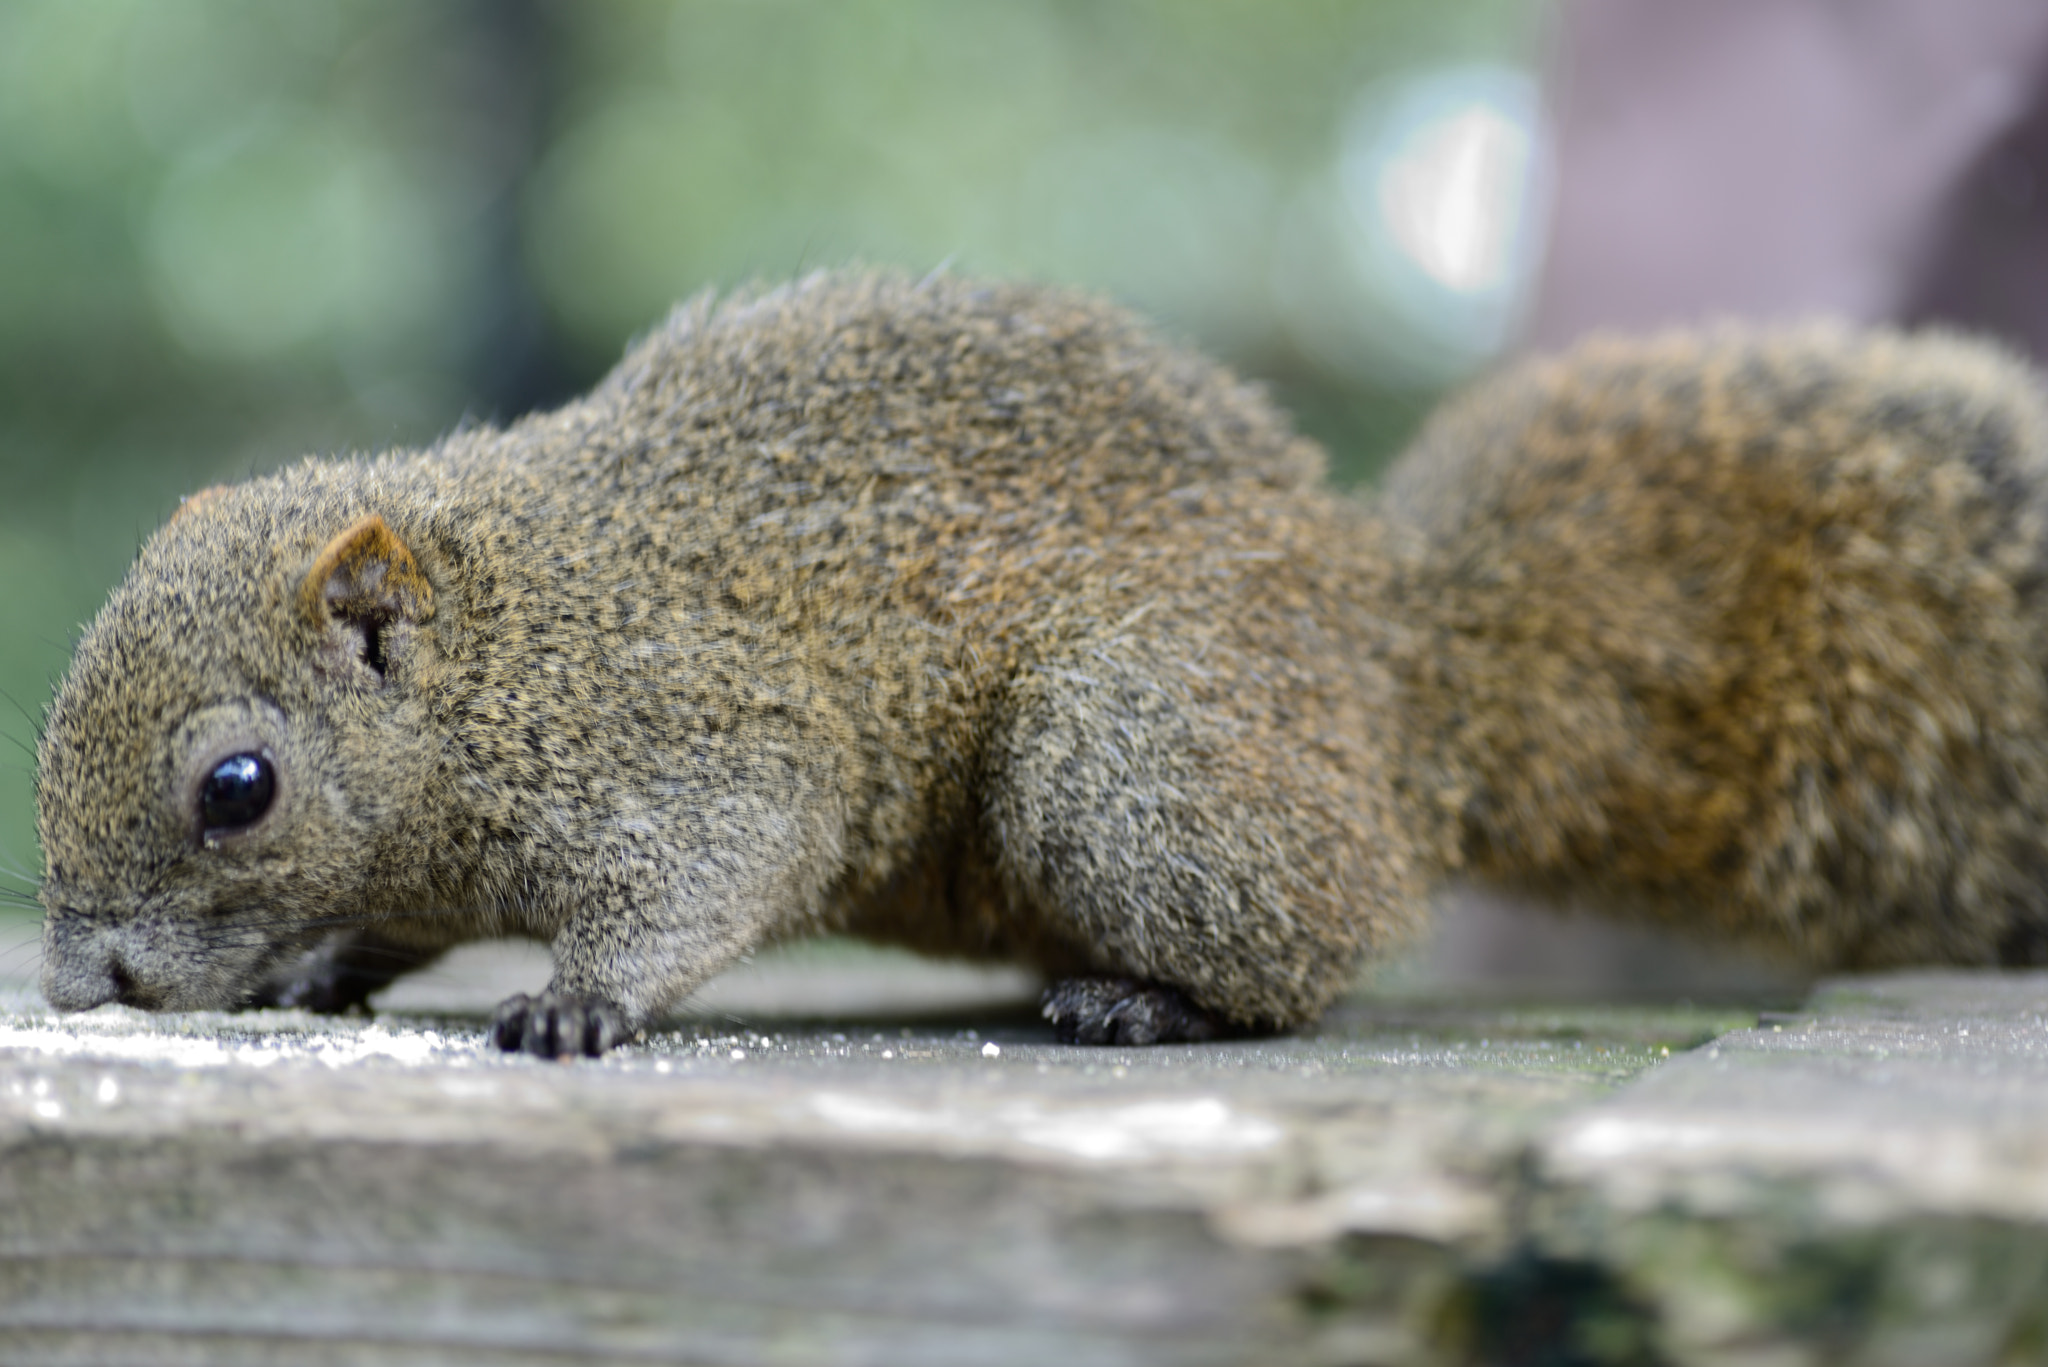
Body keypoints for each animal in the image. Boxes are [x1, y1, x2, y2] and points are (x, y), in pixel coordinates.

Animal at [32, 269, 2048, 1056]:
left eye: (238, 786)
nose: (80, 983)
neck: (515, 636)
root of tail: (1401, 670)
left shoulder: (685, 720)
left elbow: (713, 864)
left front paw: (577, 1003)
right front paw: (326, 971)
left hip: (1131, 752)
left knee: (1301, 950)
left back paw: (1144, 1002)